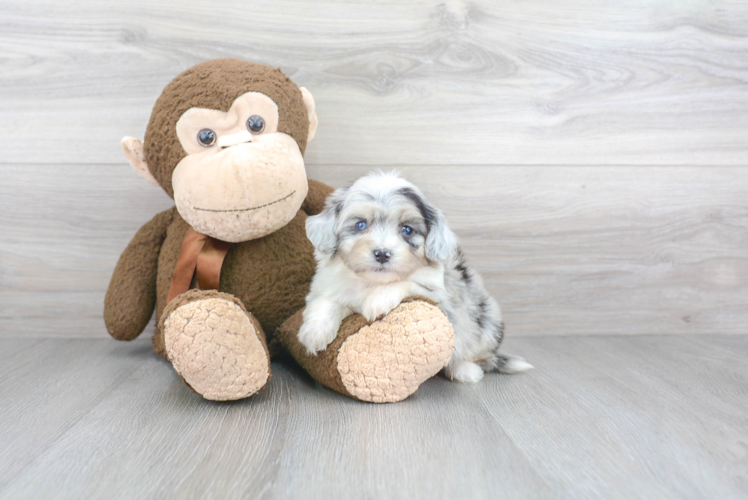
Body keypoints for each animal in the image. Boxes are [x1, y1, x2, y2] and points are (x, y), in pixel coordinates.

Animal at [298, 172, 532, 382]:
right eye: (360, 225)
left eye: (407, 230)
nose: (382, 253)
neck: (372, 281)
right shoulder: (328, 285)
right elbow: (326, 301)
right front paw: (315, 332)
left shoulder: (440, 294)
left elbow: (406, 281)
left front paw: (377, 300)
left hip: (488, 320)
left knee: (476, 351)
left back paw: (464, 369)